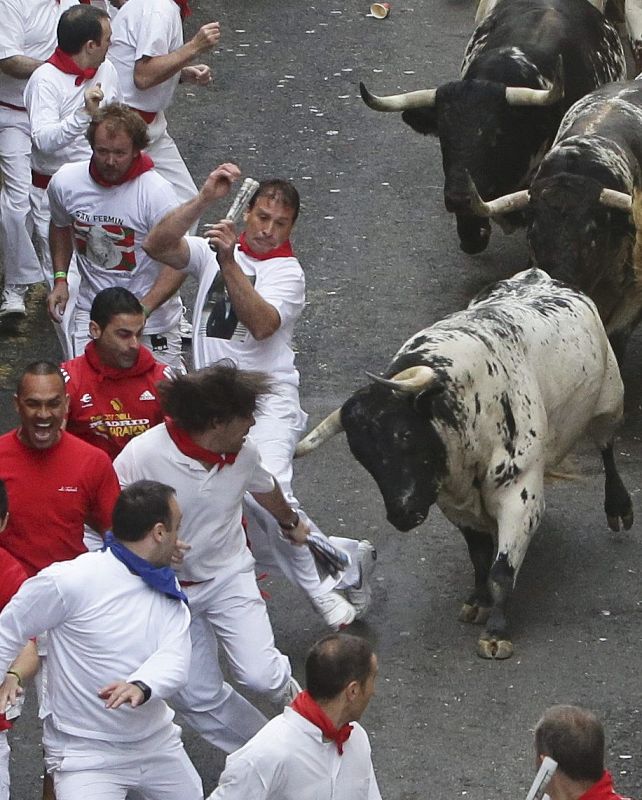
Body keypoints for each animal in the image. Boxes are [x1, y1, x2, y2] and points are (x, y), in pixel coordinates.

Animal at [294, 272, 632, 660]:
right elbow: (480, 558)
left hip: (610, 401)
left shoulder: (519, 495)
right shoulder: (455, 503)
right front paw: (478, 601)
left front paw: (496, 632)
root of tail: (539, 276)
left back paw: (619, 506)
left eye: (405, 434)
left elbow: (501, 571)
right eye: (360, 454)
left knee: (607, 447)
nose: (402, 514)